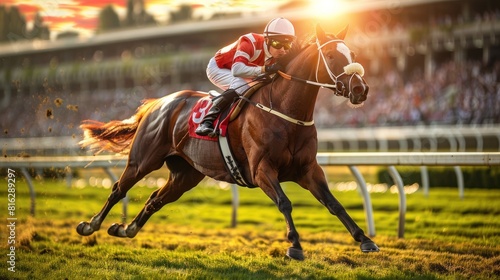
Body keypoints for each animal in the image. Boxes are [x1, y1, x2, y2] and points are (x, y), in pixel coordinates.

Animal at [76, 24, 376, 260]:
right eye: (331, 55)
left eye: (353, 54)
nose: (360, 89)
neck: (285, 112)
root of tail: (158, 102)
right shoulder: (261, 170)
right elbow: (284, 202)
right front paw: (295, 245)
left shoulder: (308, 170)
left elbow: (334, 204)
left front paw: (365, 239)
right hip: (143, 160)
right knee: (118, 189)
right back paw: (90, 225)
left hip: (186, 174)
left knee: (155, 199)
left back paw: (127, 228)